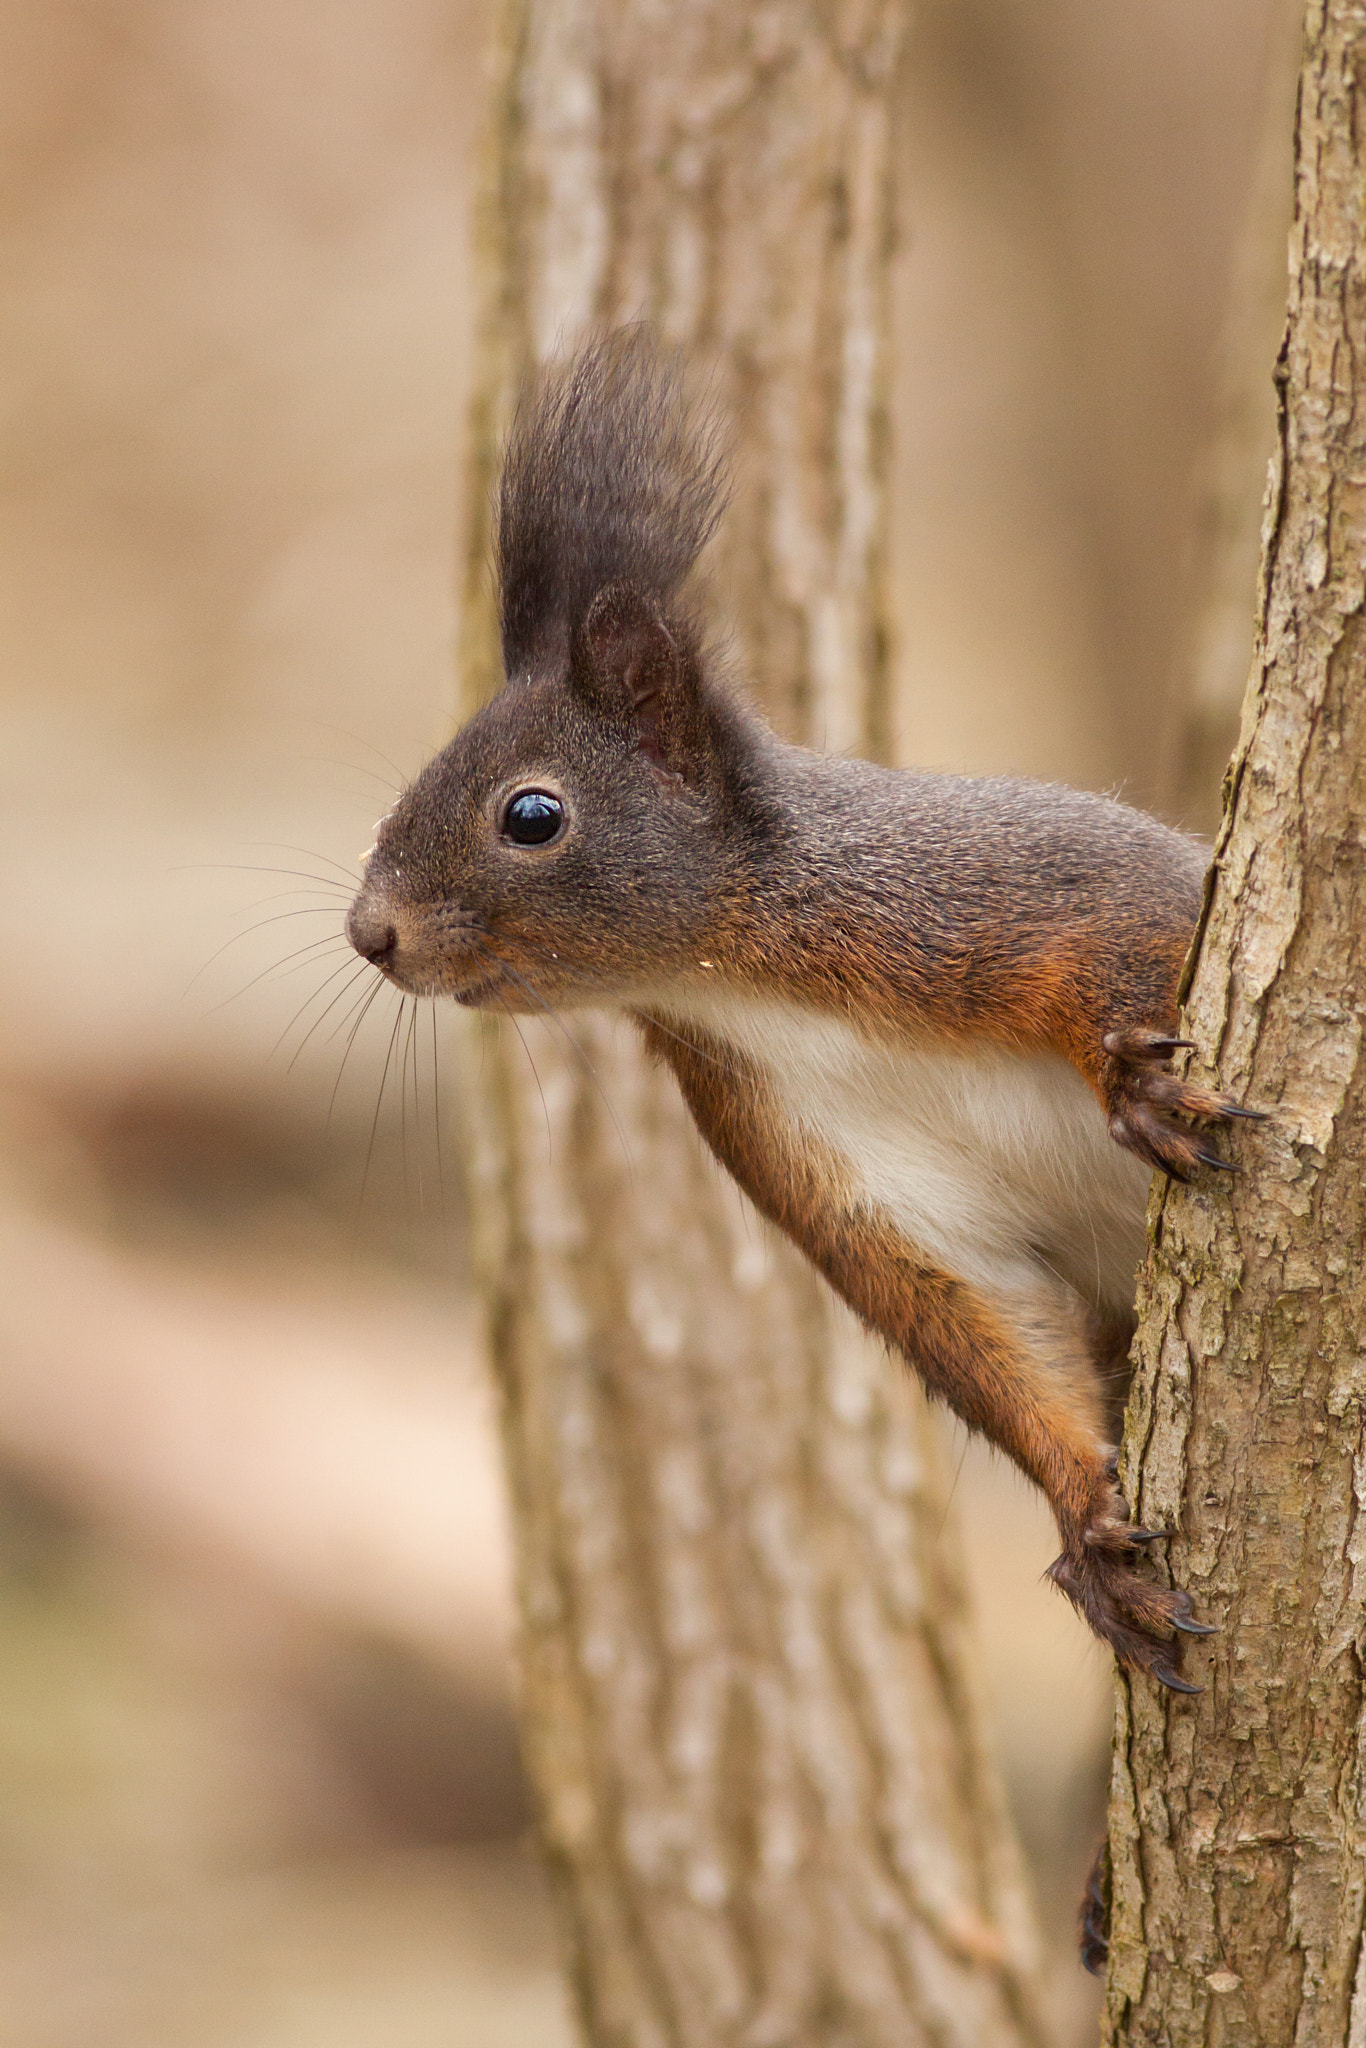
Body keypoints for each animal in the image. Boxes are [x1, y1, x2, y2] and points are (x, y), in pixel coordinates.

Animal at [345, 326, 1258, 1696]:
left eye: (531, 814)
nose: (371, 932)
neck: (751, 982)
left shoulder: (1010, 894)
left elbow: (1137, 948)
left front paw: (1140, 1086)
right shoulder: (834, 1170)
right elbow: (987, 1332)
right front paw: (1088, 1526)